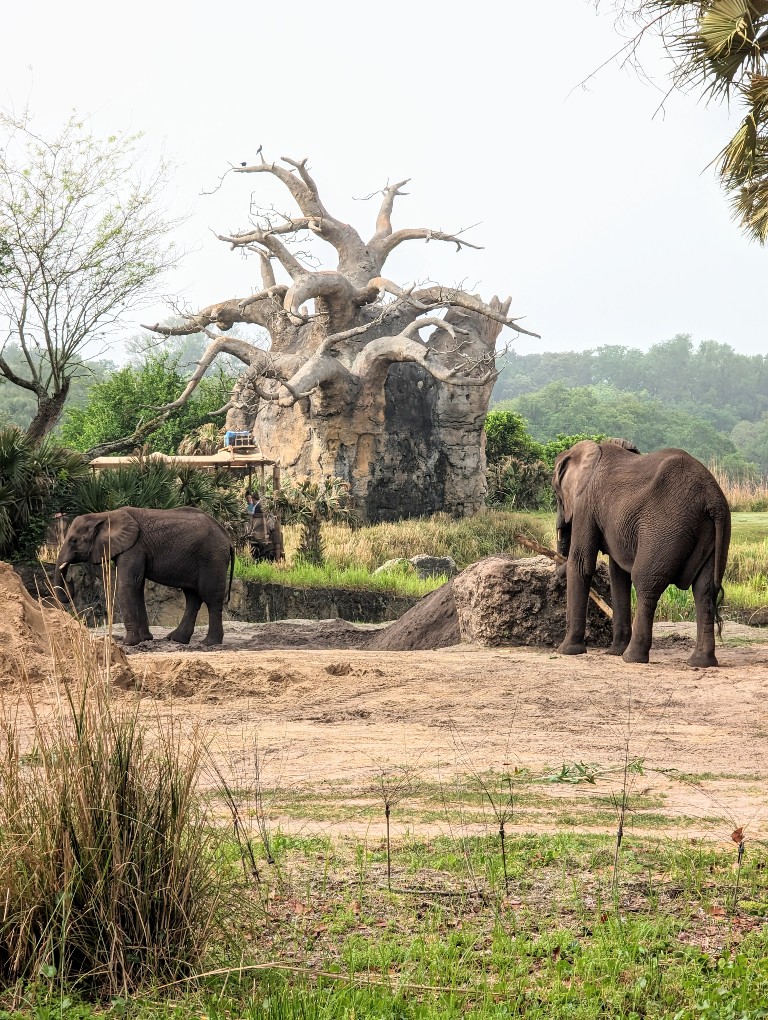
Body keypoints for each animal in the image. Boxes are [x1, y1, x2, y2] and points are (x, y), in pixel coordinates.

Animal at [53, 507, 233, 644]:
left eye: (74, 541)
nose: (70, 581)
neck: (104, 515)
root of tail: (228, 538)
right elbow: (137, 586)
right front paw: (146, 639)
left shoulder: (134, 547)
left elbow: (127, 585)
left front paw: (129, 643)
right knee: (193, 597)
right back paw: (176, 639)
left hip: (212, 558)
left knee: (210, 597)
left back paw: (209, 643)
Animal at [554, 440, 726, 669]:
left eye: (557, 494)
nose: (556, 573)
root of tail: (712, 499)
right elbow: (617, 574)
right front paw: (613, 652)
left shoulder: (586, 504)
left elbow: (582, 563)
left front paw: (566, 651)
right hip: (711, 532)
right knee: (704, 591)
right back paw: (700, 662)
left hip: (664, 529)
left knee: (646, 583)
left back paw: (632, 657)